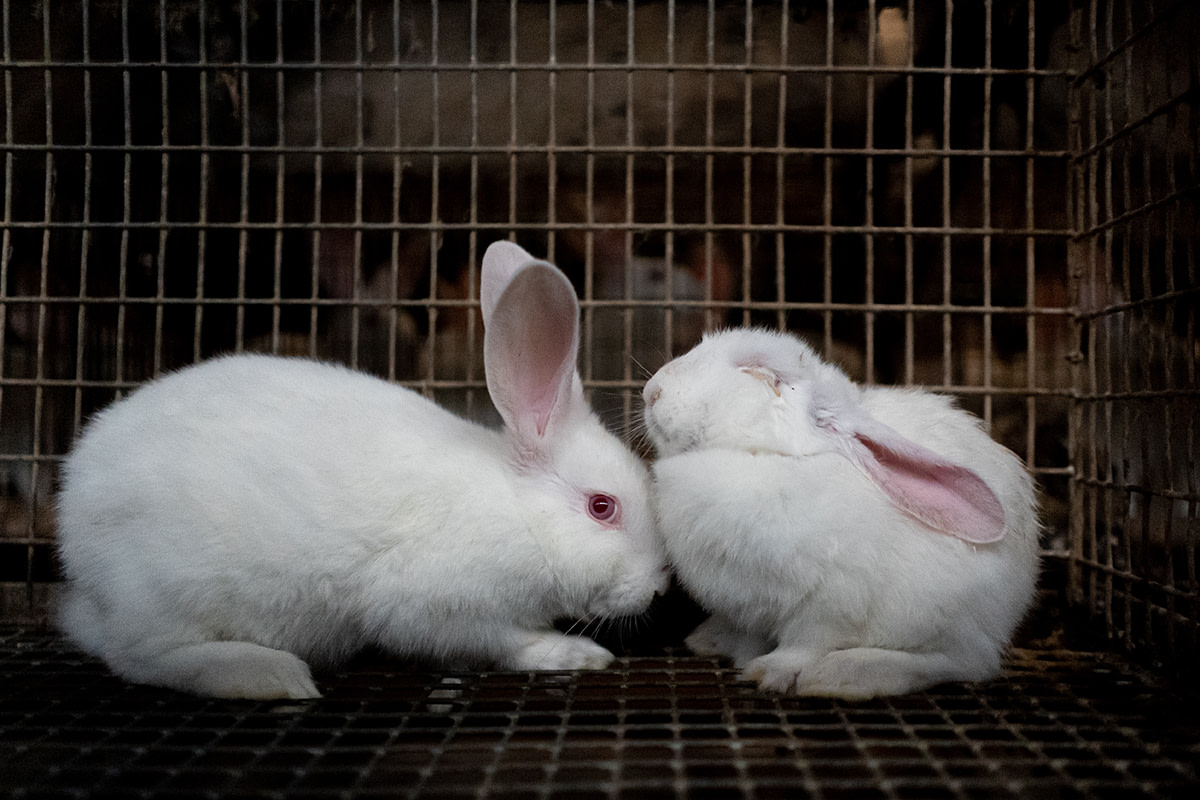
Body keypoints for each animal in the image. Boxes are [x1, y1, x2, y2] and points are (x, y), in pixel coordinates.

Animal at [56, 241, 672, 695]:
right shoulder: (437, 608)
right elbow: (504, 641)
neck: (517, 511)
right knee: (138, 656)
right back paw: (265, 674)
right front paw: (576, 651)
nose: (658, 590)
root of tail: (72, 517)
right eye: (601, 507)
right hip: (170, 591)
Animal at [638, 328, 1041, 695]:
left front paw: (768, 673)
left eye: (759, 371)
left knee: (963, 663)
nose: (650, 391)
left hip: (944, 619)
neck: (773, 457)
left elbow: (804, 645)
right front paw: (732, 649)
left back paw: (848, 674)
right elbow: (749, 635)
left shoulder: (829, 605)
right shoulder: (751, 608)